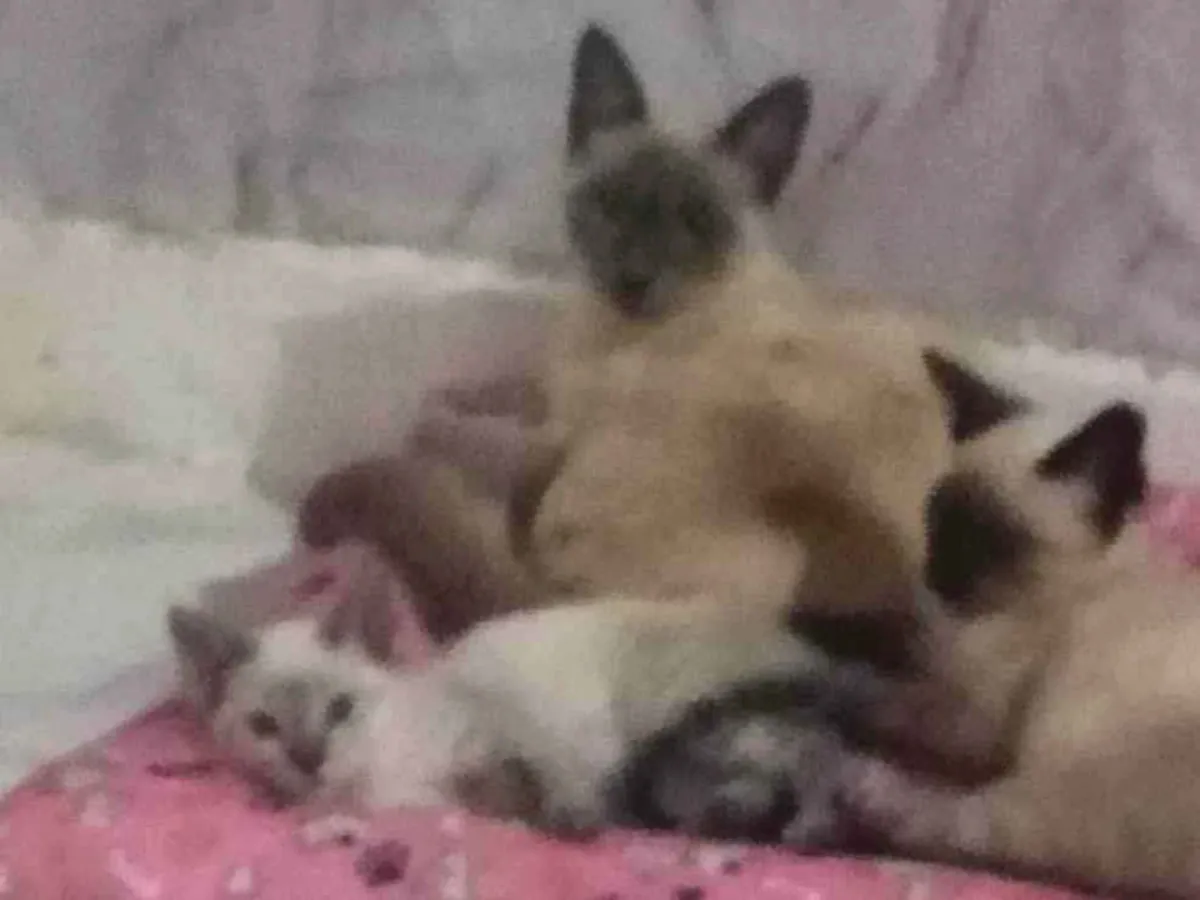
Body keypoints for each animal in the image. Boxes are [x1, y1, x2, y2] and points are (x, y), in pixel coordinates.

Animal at [845, 354, 1200, 897]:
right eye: (936, 517)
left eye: (993, 539)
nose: (935, 572)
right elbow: (890, 639)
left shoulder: (970, 717)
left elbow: (890, 697)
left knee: (960, 827)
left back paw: (864, 794)